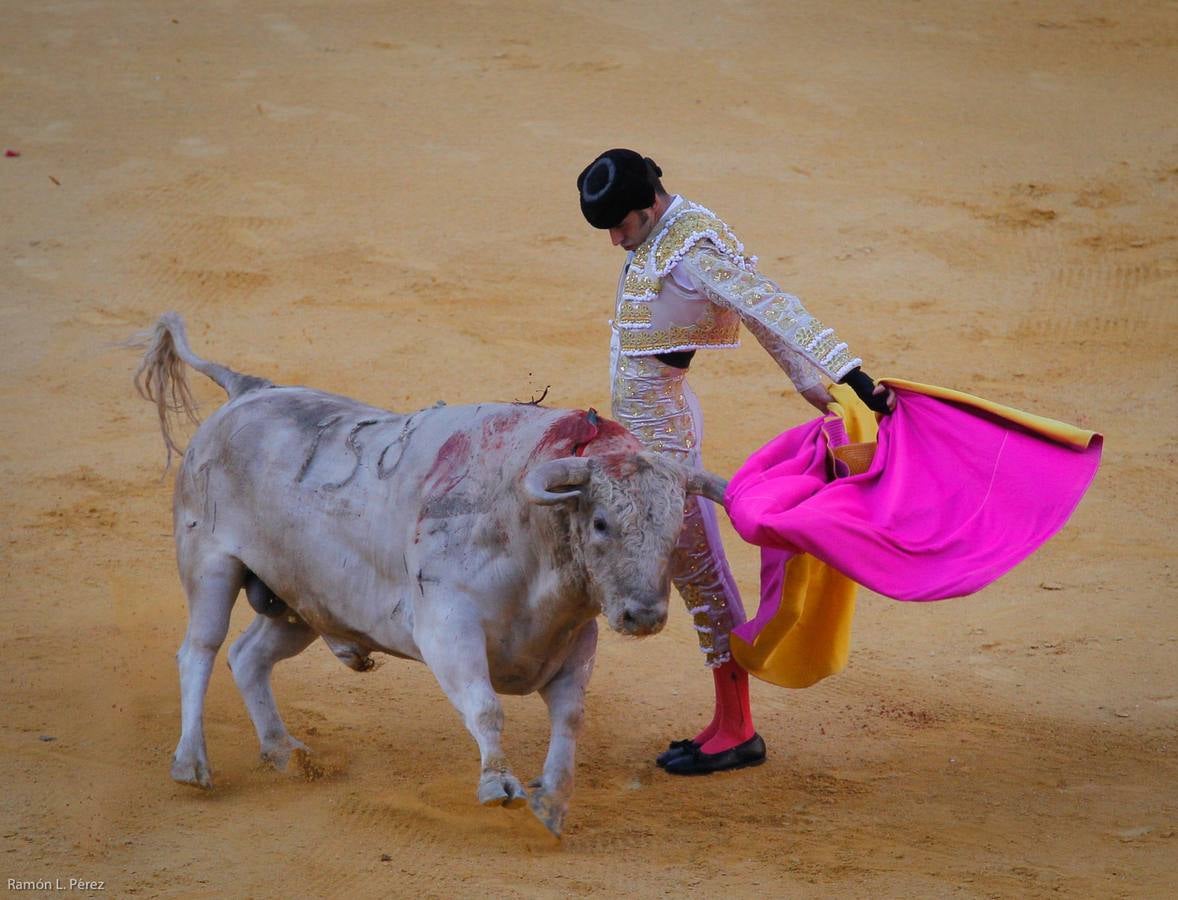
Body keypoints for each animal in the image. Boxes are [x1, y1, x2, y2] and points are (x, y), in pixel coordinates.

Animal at [135, 315, 725, 838]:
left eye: (675, 530)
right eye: (600, 522)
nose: (643, 616)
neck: (530, 529)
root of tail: (249, 391)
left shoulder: (574, 641)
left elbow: (570, 719)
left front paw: (553, 803)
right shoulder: (447, 627)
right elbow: (486, 707)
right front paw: (498, 785)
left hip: (301, 601)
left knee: (249, 656)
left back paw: (285, 753)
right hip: (211, 562)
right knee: (200, 650)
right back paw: (192, 764)